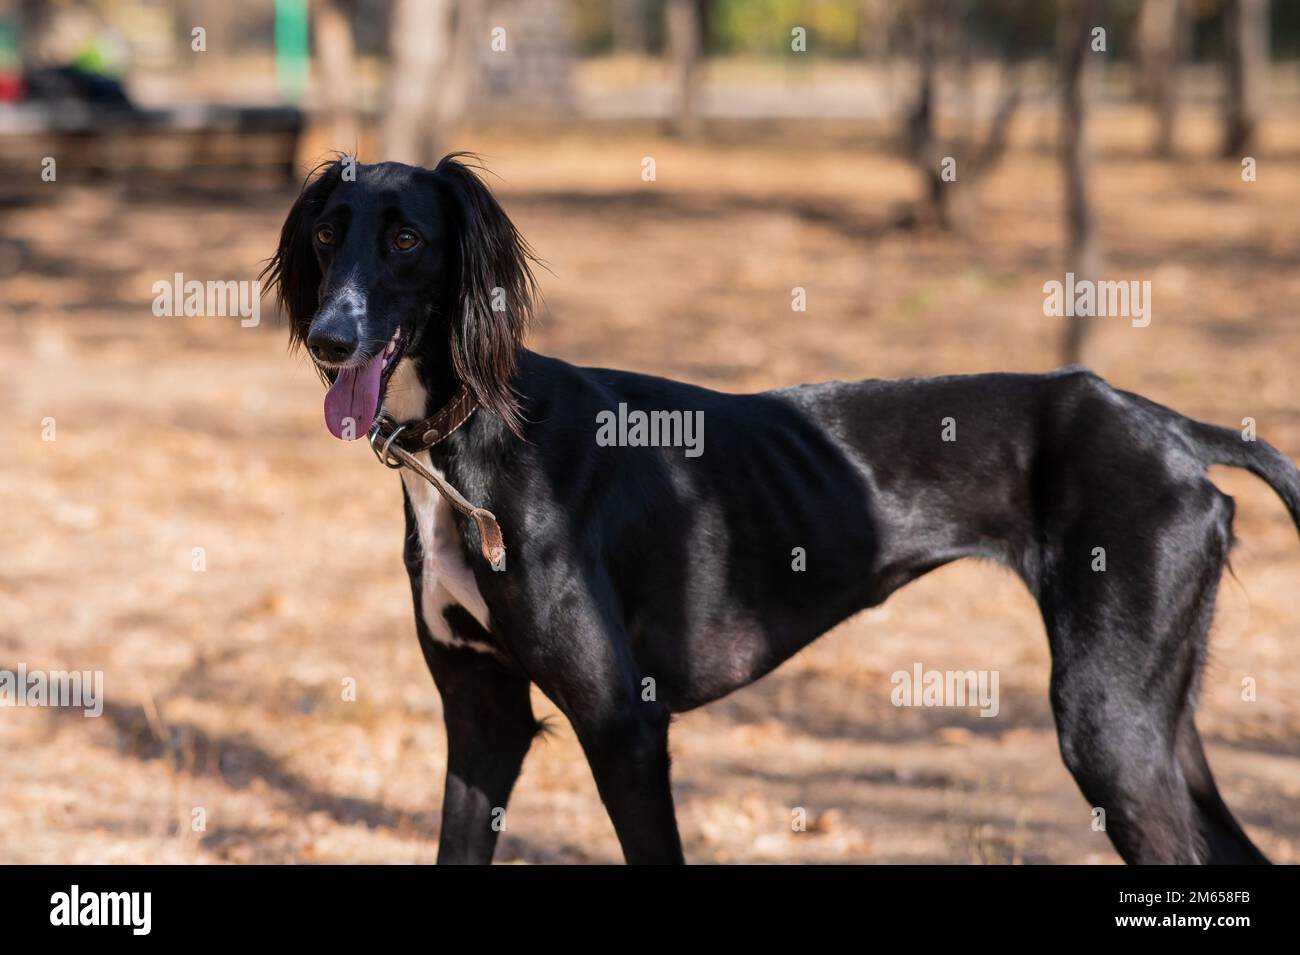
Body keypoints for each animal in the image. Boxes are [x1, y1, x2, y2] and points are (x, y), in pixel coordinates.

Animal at [269, 157, 1294, 867]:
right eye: (325, 235)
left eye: (407, 239)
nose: (330, 338)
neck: (466, 444)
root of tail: (1172, 427)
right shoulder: (483, 715)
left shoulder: (624, 725)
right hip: (1157, 720)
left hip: (1108, 722)